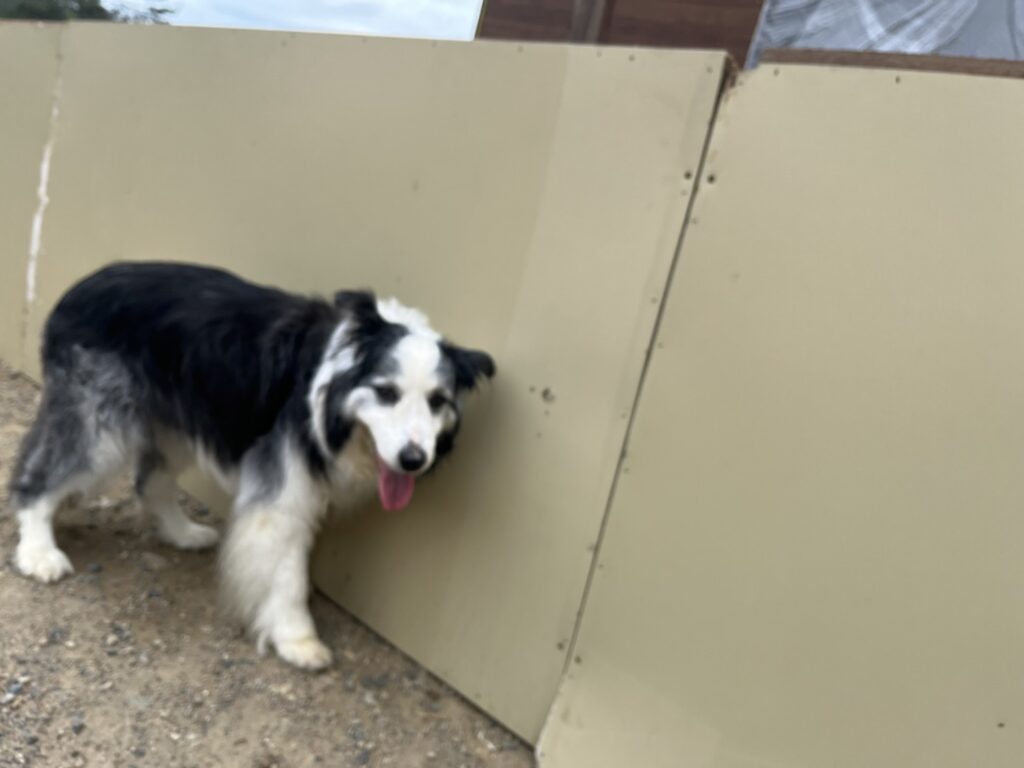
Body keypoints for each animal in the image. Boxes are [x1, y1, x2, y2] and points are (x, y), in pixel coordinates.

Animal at [7, 261, 495, 669]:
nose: (414, 460)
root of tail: (79, 287)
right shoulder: (283, 489)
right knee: (37, 475)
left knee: (150, 480)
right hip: (98, 423)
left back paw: (183, 533)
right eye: (386, 392)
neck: (335, 379)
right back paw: (38, 552)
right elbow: (288, 571)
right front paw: (297, 640)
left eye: (438, 401)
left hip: (175, 420)